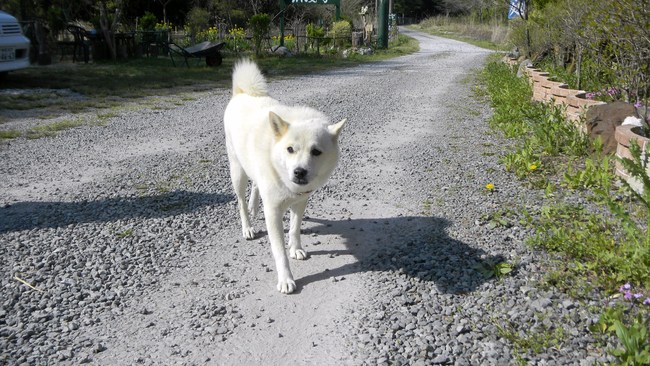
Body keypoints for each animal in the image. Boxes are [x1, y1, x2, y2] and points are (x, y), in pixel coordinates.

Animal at [223, 60, 344, 294]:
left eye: (316, 152)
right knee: (241, 202)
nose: (299, 171)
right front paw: (286, 279)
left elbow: (295, 228)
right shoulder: (273, 212)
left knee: (256, 186)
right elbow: (279, 252)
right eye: (290, 149)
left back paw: (254, 206)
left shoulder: (301, 201)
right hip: (237, 172)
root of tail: (242, 93)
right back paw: (247, 226)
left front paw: (296, 248)